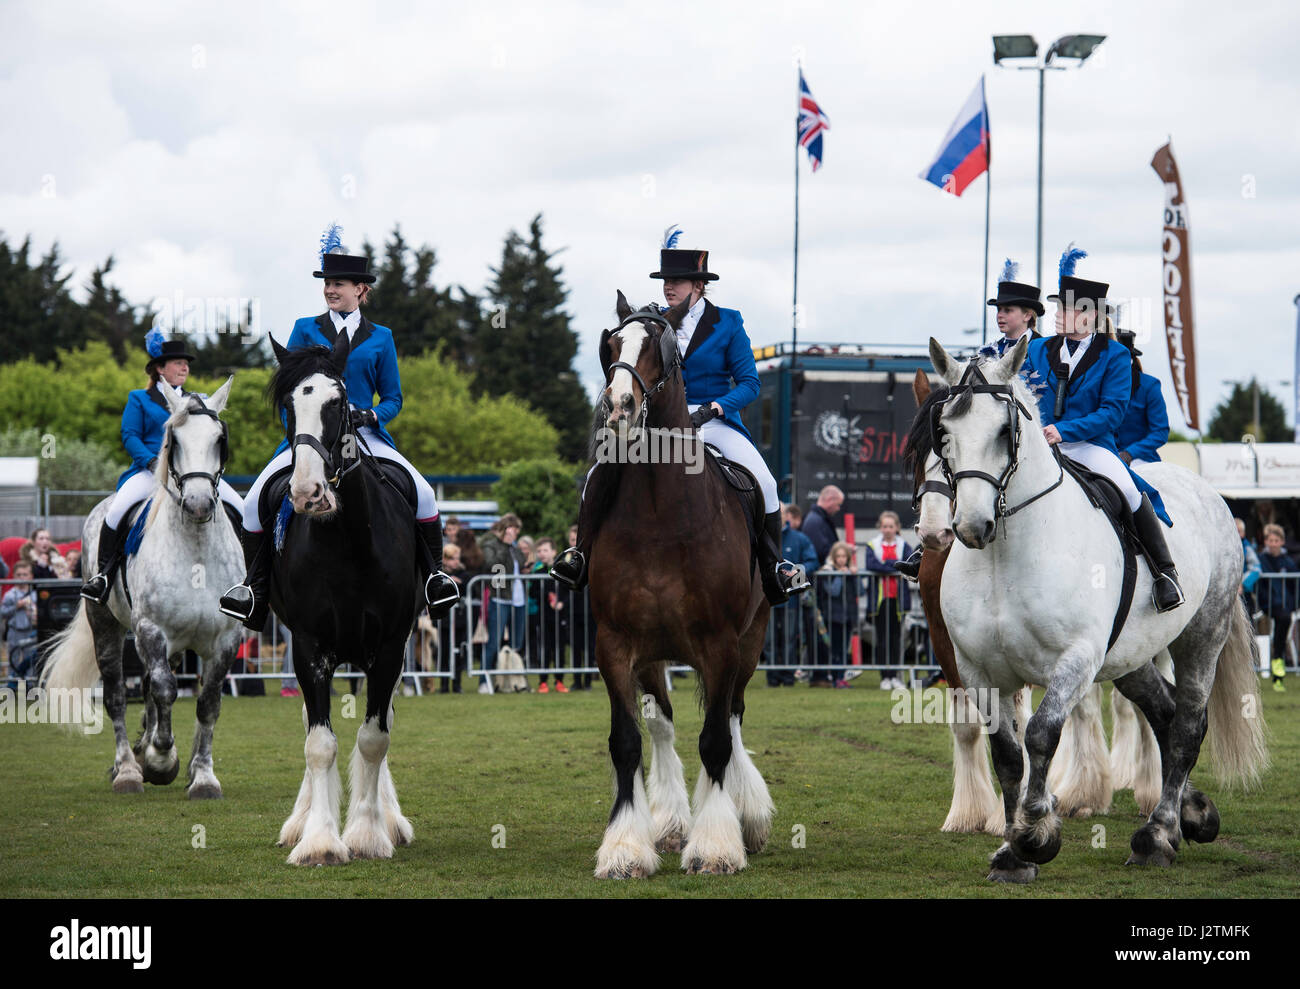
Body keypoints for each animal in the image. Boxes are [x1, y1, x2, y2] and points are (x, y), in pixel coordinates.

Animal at [41, 382, 244, 800]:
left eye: (220, 439)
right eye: (172, 441)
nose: (198, 505)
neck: (195, 550)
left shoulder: (225, 637)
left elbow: (208, 702)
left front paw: (202, 776)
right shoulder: (151, 629)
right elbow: (165, 690)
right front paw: (160, 759)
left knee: (151, 684)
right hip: (107, 625)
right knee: (118, 694)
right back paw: (129, 770)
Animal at [263, 332, 421, 862]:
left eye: (339, 403)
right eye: (289, 407)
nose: (308, 492)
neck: (346, 540)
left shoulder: (390, 646)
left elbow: (375, 738)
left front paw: (368, 833)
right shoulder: (308, 645)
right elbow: (319, 743)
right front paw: (318, 839)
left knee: (384, 720)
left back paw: (389, 818)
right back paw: (299, 819)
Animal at [587, 289, 769, 873]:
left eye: (659, 350)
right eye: (612, 346)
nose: (618, 408)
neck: (659, 512)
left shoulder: (719, 642)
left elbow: (715, 741)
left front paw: (715, 846)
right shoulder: (615, 642)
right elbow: (626, 741)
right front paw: (625, 846)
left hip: (749, 642)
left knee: (730, 717)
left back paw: (743, 813)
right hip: (652, 653)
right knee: (663, 724)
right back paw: (668, 822)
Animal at [925, 340, 1268, 878]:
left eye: (1004, 430)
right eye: (944, 433)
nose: (971, 527)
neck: (1005, 557)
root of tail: (1206, 491)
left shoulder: (1076, 660)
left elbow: (1041, 735)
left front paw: (1036, 834)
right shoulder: (978, 670)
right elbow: (1007, 754)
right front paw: (1011, 853)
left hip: (1201, 637)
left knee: (1188, 725)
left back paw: (1158, 834)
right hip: (1131, 658)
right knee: (1164, 713)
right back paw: (1193, 814)